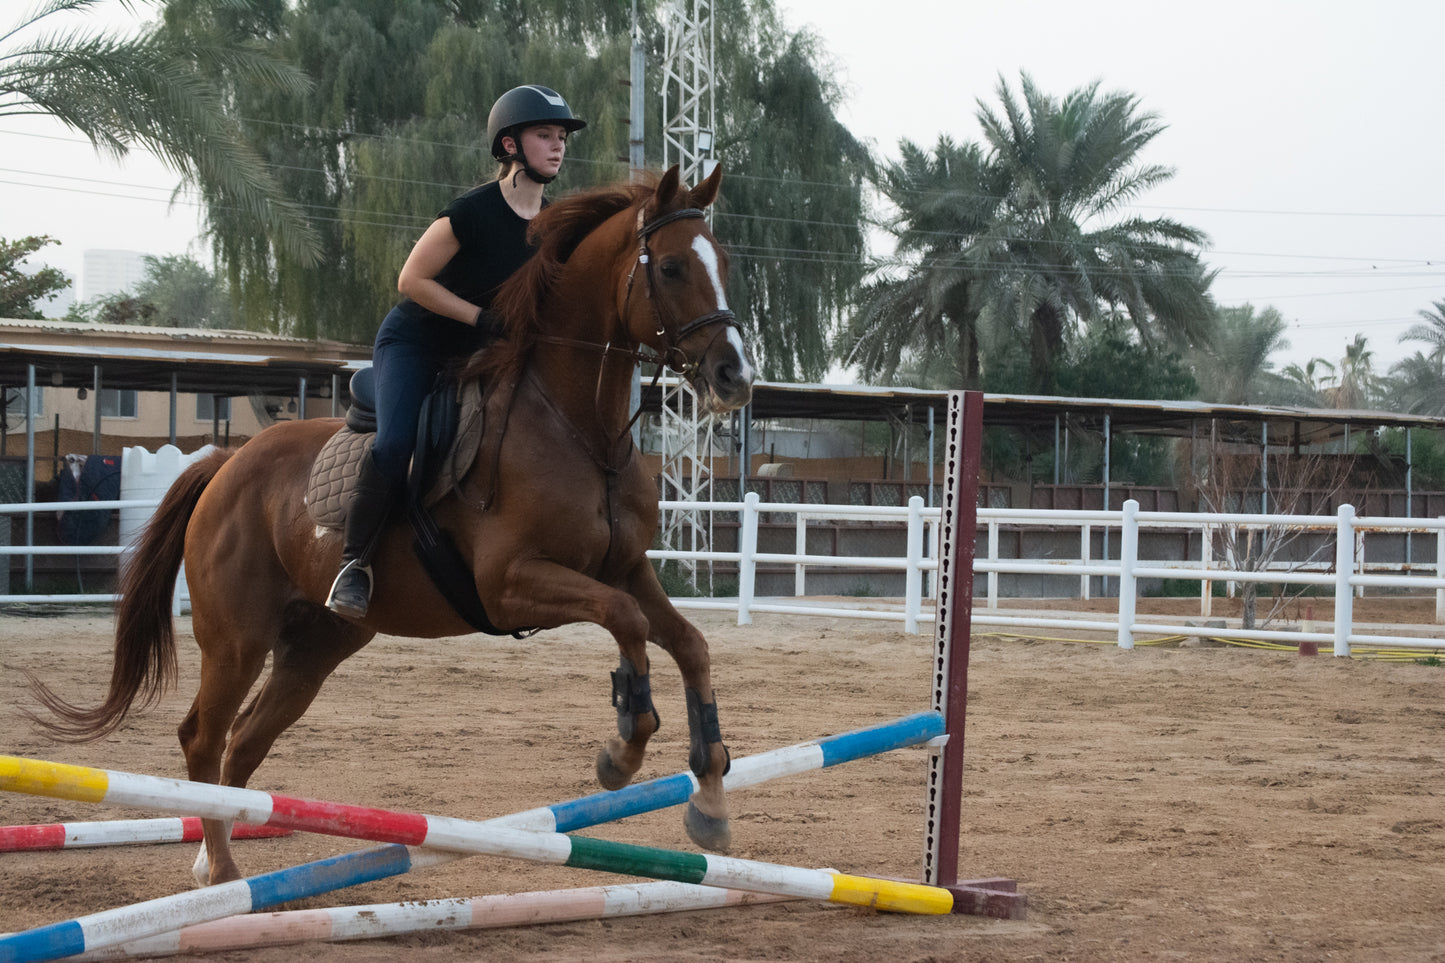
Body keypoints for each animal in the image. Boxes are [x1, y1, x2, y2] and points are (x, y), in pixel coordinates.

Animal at [31, 164, 757, 884]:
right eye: (670, 268)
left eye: (726, 263)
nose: (735, 375)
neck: (580, 429)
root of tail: (225, 463)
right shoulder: (510, 583)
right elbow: (626, 622)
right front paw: (622, 750)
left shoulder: (625, 569)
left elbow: (689, 642)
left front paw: (710, 799)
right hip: (237, 639)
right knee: (204, 739)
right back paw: (224, 875)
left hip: (315, 644)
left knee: (243, 743)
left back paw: (219, 868)